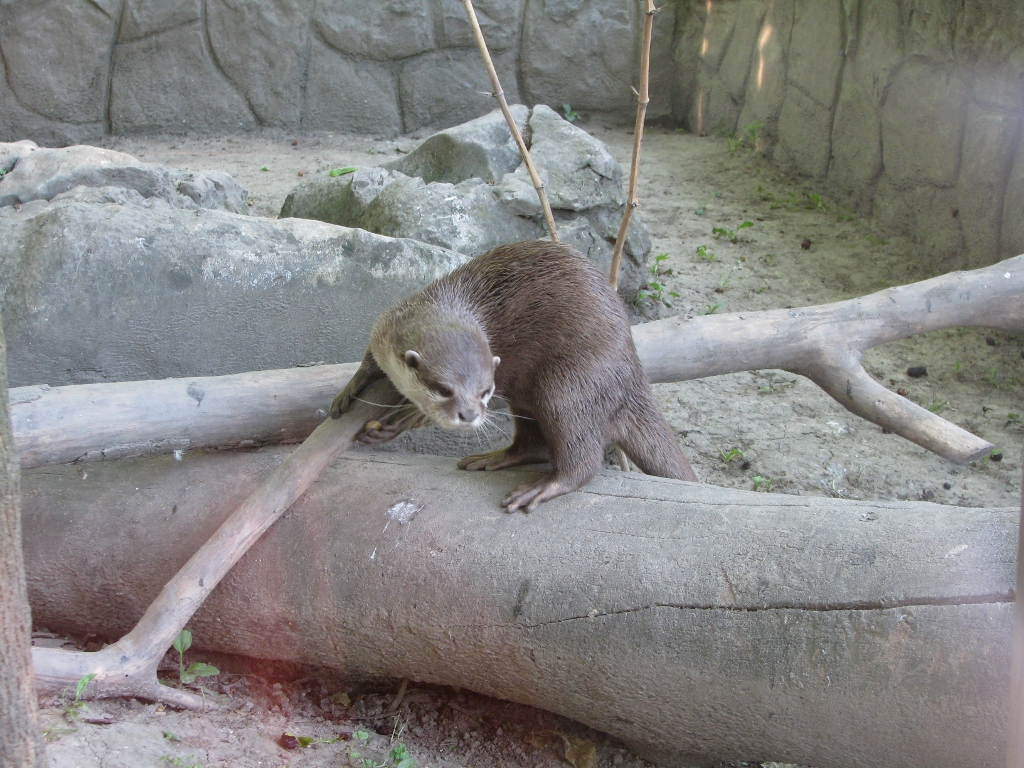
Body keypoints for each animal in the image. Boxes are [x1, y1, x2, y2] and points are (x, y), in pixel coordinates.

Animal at [331, 239, 698, 511]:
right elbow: (368, 361)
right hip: (529, 396)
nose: (469, 415)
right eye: (444, 389)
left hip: (571, 382)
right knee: (532, 444)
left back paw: (544, 487)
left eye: (485, 391)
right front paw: (349, 390)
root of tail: (631, 369)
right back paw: (493, 458)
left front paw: (406, 418)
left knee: (583, 458)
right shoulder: (385, 325)